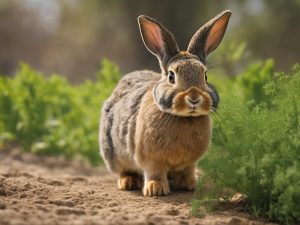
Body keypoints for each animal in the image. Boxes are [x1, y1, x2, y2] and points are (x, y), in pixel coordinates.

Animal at [99, 10, 231, 196]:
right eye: (171, 76)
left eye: (205, 76)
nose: (194, 98)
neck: (184, 118)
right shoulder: (151, 160)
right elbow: (155, 172)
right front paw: (156, 189)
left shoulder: (189, 163)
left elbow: (186, 171)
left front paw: (189, 185)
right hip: (113, 153)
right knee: (124, 170)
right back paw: (128, 182)